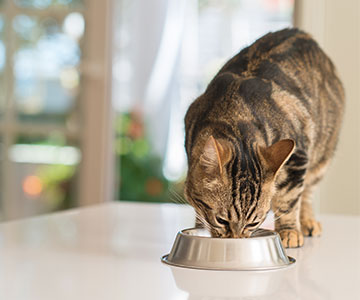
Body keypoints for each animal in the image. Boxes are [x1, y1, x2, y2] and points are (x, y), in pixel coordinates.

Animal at [184, 28, 344, 248]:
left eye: (253, 223)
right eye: (221, 220)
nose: (236, 240)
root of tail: (304, 34)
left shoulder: (298, 157)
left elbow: (289, 199)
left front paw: (289, 231)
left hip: (321, 157)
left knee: (307, 190)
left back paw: (307, 221)